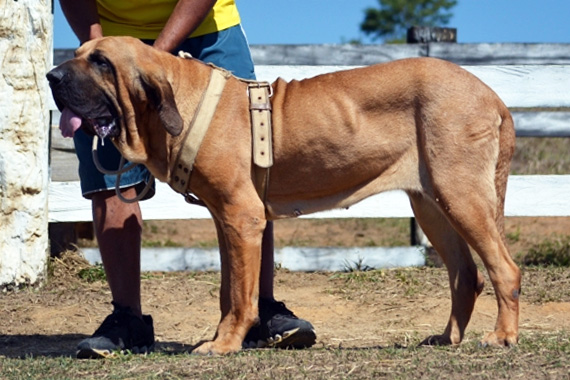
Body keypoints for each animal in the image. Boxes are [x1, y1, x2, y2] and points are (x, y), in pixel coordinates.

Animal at [47, 36, 520, 356]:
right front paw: (222, 337)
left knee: (504, 269)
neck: (178, 105)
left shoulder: (243, 217)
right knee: (466, 274)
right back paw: (446, 338)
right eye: (78, 53)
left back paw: (502, 336)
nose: (51, 76)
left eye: (101, 62)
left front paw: (224, 345)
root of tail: (494, 97)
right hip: (431, 205)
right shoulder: (227, 221)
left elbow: (241, 294)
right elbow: (229, 290)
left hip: (461, 194)